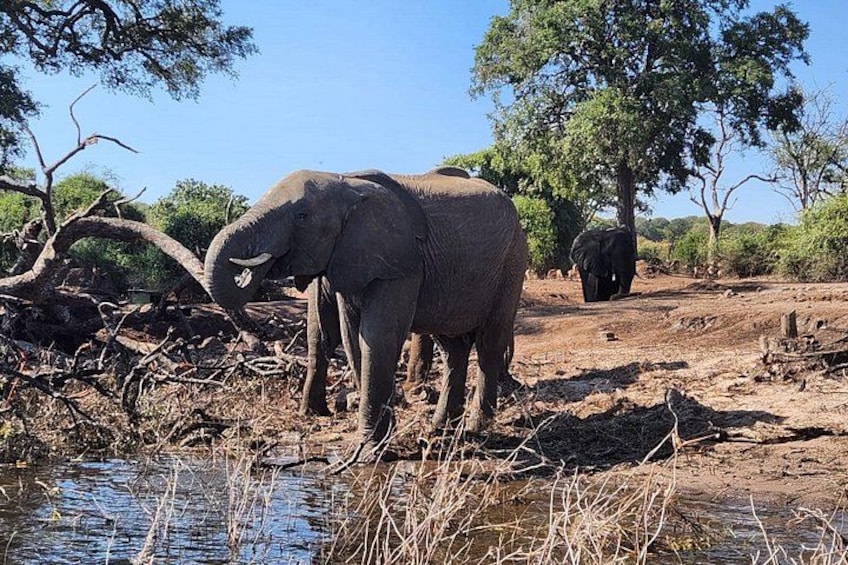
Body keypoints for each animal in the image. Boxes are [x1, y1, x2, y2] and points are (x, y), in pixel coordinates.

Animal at [204, 167, 527, 459]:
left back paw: (476, 427)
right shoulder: (353, 261)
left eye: (302, 217)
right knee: (452, 347)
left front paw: (369, 453)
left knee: (488, 343)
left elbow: (377, 336)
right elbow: (352, 337)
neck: (346, 183)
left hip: (512, 263)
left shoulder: (399, 265)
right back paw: (441, 427)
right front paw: (379, 441)